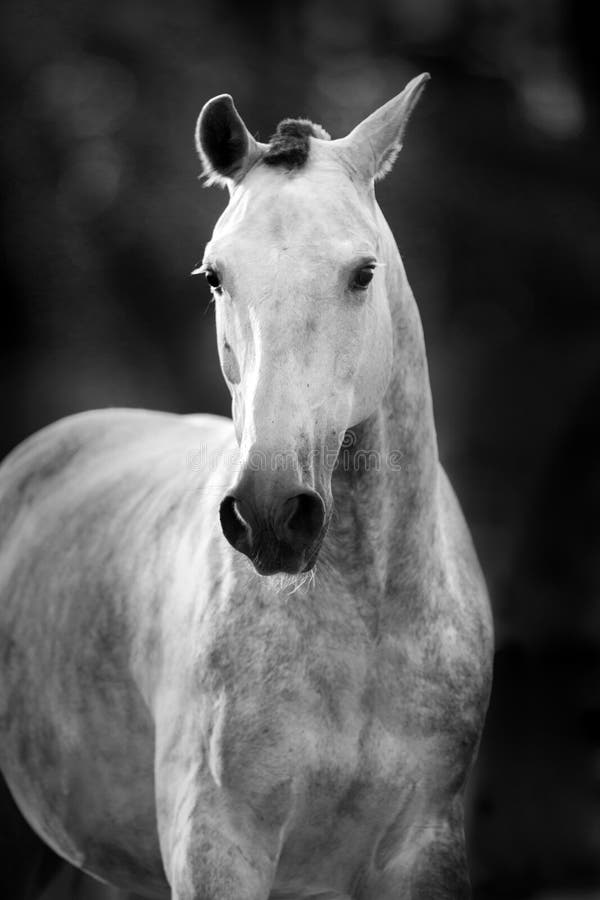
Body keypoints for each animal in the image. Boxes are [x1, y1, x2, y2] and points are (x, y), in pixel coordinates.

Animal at [0, 74, 492, 896]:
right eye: (214, 277)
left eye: (363, 273)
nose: (269, 515)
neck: (365, 624)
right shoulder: (218, 847)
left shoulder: (425, 849)